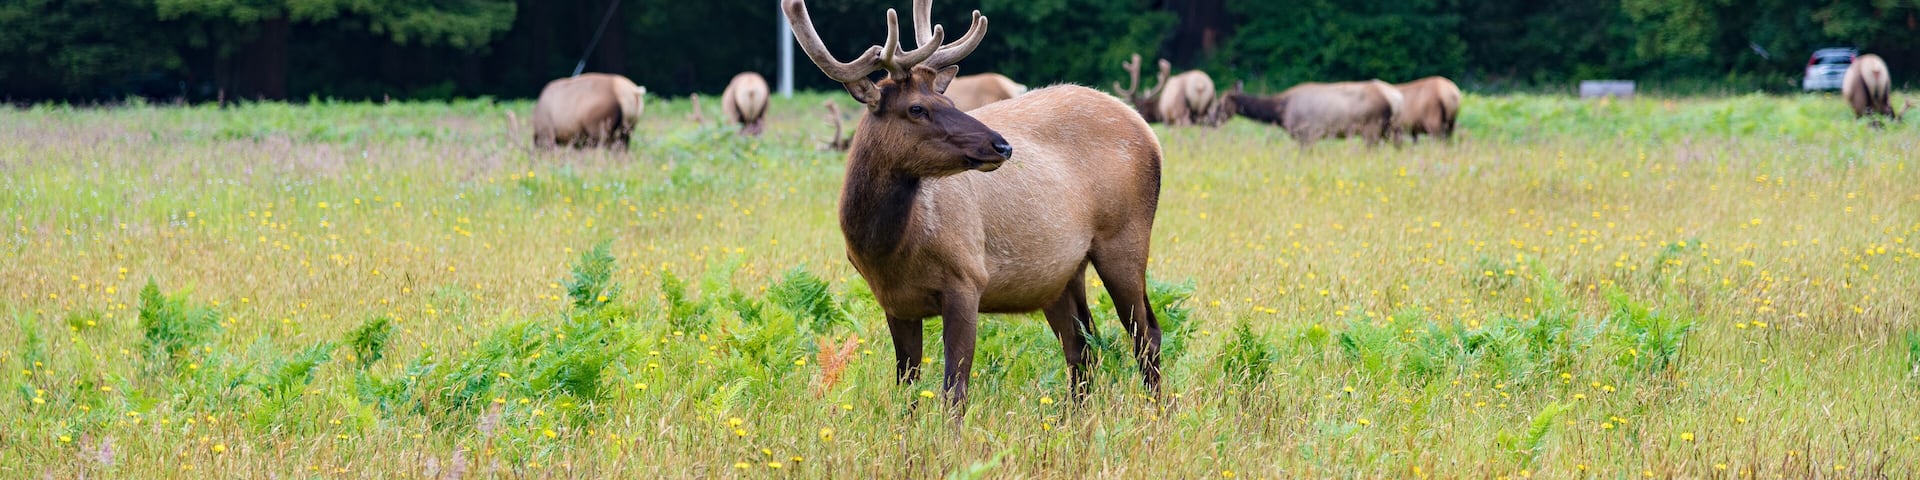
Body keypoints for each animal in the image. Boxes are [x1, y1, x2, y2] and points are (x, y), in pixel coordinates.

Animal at [784, 0, 1166, 410]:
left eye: (949, 100)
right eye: (917, 108)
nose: (1002, 145)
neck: (888, 250)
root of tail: (1147, 129)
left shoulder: (967, 277)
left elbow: (954, 389)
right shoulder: (895, 302)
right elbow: (907, 387)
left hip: (1124, 237)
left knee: (1145, 333)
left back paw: (1158, 413)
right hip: (1060, 274)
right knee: (1081, 342)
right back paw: (1076, 417)